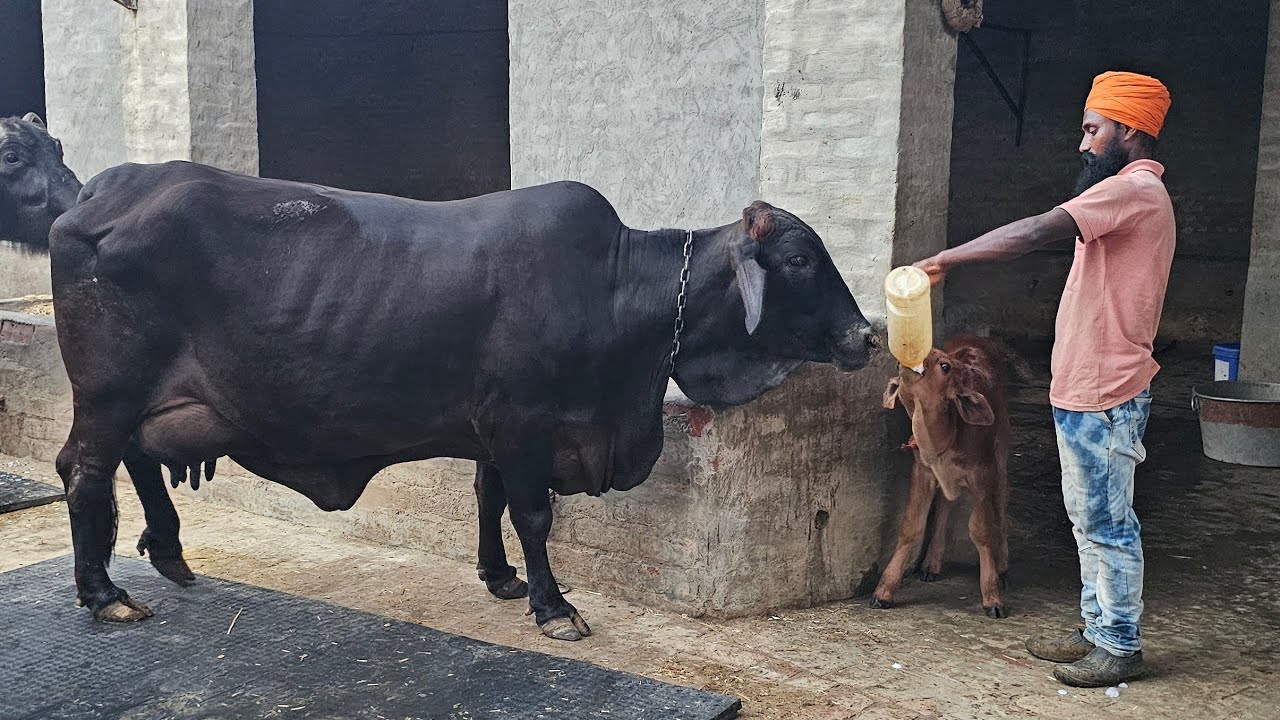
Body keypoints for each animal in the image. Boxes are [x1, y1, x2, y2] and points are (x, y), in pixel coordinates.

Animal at [44, 161, 879, 640]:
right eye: (799, 259)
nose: (865, 337)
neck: (616, 291)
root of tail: (101, 191)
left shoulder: (491, 431)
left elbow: (489, 499)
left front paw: (500, 578)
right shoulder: (523, 422)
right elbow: (534, 512)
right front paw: (554, 607)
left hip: (146, 399)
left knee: (133, 464)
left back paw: (170, 552)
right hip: (107, 392)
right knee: (84, 471)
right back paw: (105, 593)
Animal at [873, 336, 1023, 618]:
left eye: (945, 366)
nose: (909, 356)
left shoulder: (981, 475)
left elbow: (982, 531)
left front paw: (993, 598)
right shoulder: (922, 471)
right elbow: (911, 526)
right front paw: (884, 591)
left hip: (1001, 455)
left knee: (1001, 502)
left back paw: (1004, 568)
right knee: (944, 505)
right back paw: (931, 564)